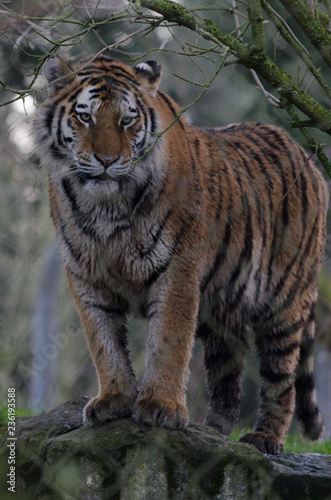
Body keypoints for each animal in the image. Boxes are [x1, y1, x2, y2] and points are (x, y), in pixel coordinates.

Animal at [32, 53, 328, 454]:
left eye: (127, 121)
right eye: (85, 117)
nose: (107, 160)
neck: (107, 208)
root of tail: (306, 155)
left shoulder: (177, 269)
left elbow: (168, 342)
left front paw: (161, 406)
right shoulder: (86, 276)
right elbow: (104, 342)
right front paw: (114, 400)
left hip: (284, 302)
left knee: (280, 378)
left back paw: (265, 438)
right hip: (225, 310)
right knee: (227, 378)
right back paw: (215, 433)